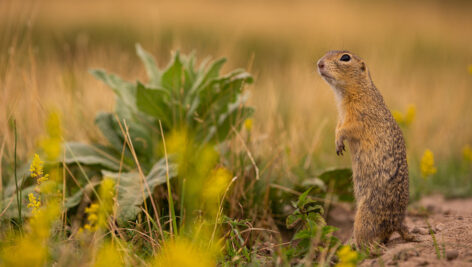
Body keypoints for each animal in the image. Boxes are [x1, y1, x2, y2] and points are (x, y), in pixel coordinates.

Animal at [318, 50, 416, 249]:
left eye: (345, 58)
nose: (319, 64)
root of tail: (398, 222)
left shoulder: (360, 116)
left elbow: (348, 128)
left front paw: (339, 140)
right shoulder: (342, 116)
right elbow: (338, 126)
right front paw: (337, 144)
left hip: (364, 216)